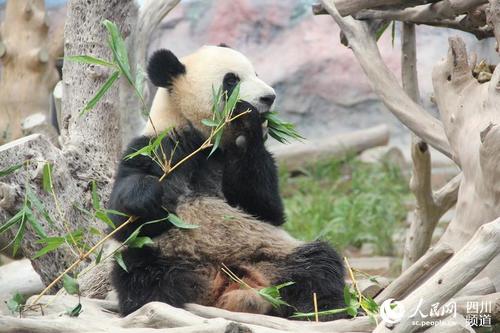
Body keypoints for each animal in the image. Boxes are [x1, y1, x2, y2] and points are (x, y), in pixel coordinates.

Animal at [107, 44, 346, 320]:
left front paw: (249, 129)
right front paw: (147, 197)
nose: (269, 97)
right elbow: (122, 220)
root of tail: (225, 281)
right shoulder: (158, 148)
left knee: (318, 265)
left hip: (273, 254)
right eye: (231, 80)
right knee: (141, 274)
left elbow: (266, 209)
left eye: (256, 73)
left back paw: (321, 310)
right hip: (165, 253)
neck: (206, 141)